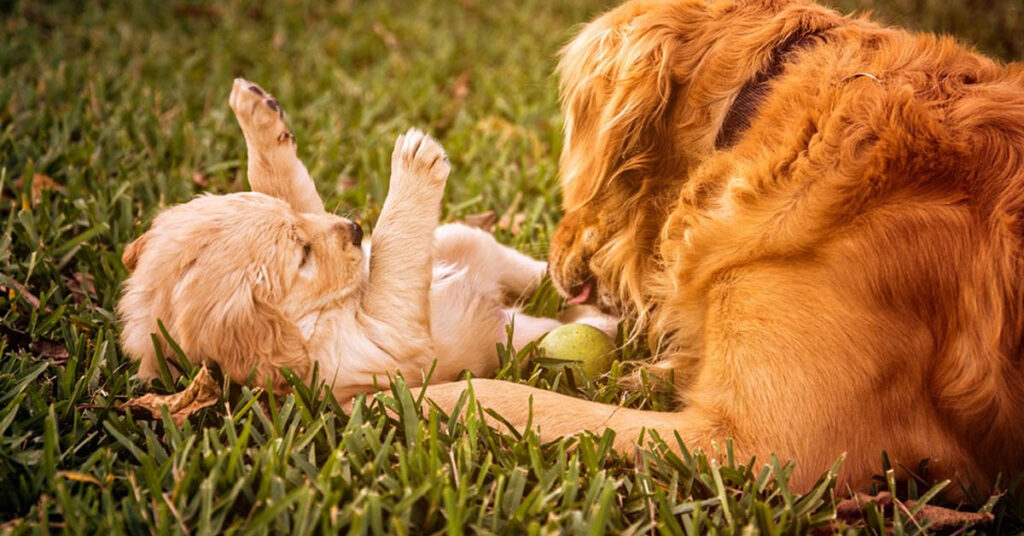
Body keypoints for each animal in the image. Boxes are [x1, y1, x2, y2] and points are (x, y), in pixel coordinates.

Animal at [120, 77, 573, 399]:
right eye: (302, 256)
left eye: (296, 225)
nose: (355, 230)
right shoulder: (385, 347)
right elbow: (391, 266)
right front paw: (413, 163)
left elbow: (283, 182)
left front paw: (257, 116)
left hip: (463, 238)